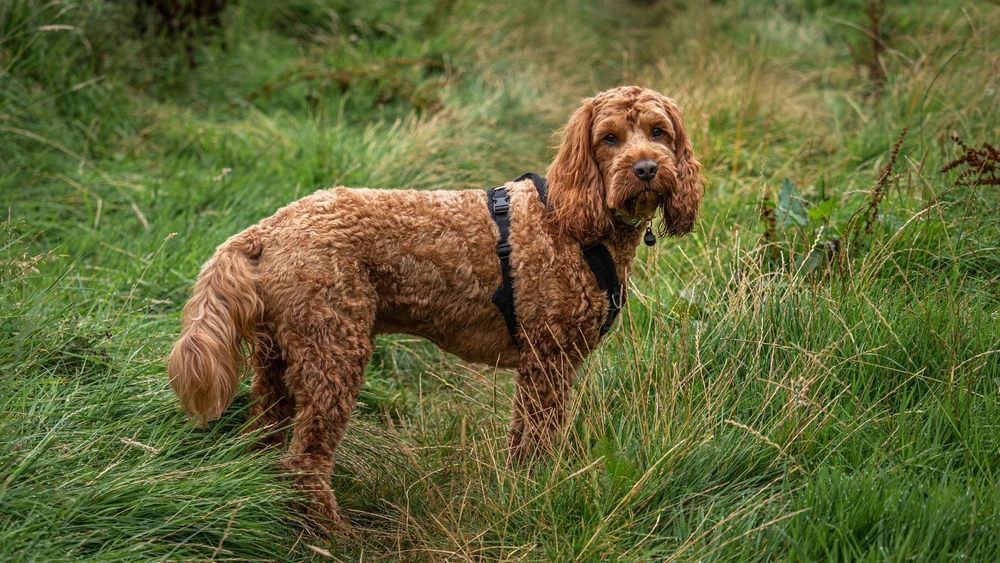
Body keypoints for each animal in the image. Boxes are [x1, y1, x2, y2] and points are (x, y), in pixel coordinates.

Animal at [168, 86, 704, 532]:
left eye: (659, 132)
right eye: (609, 138)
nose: (646, 168)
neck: (573, 225)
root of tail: (265, 230)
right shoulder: (546, 361)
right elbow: (534, 441)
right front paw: (536, 492)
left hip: (278, 360)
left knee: (263, 440)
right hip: (333, 351)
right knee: (304, 461)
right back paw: (333, 535)